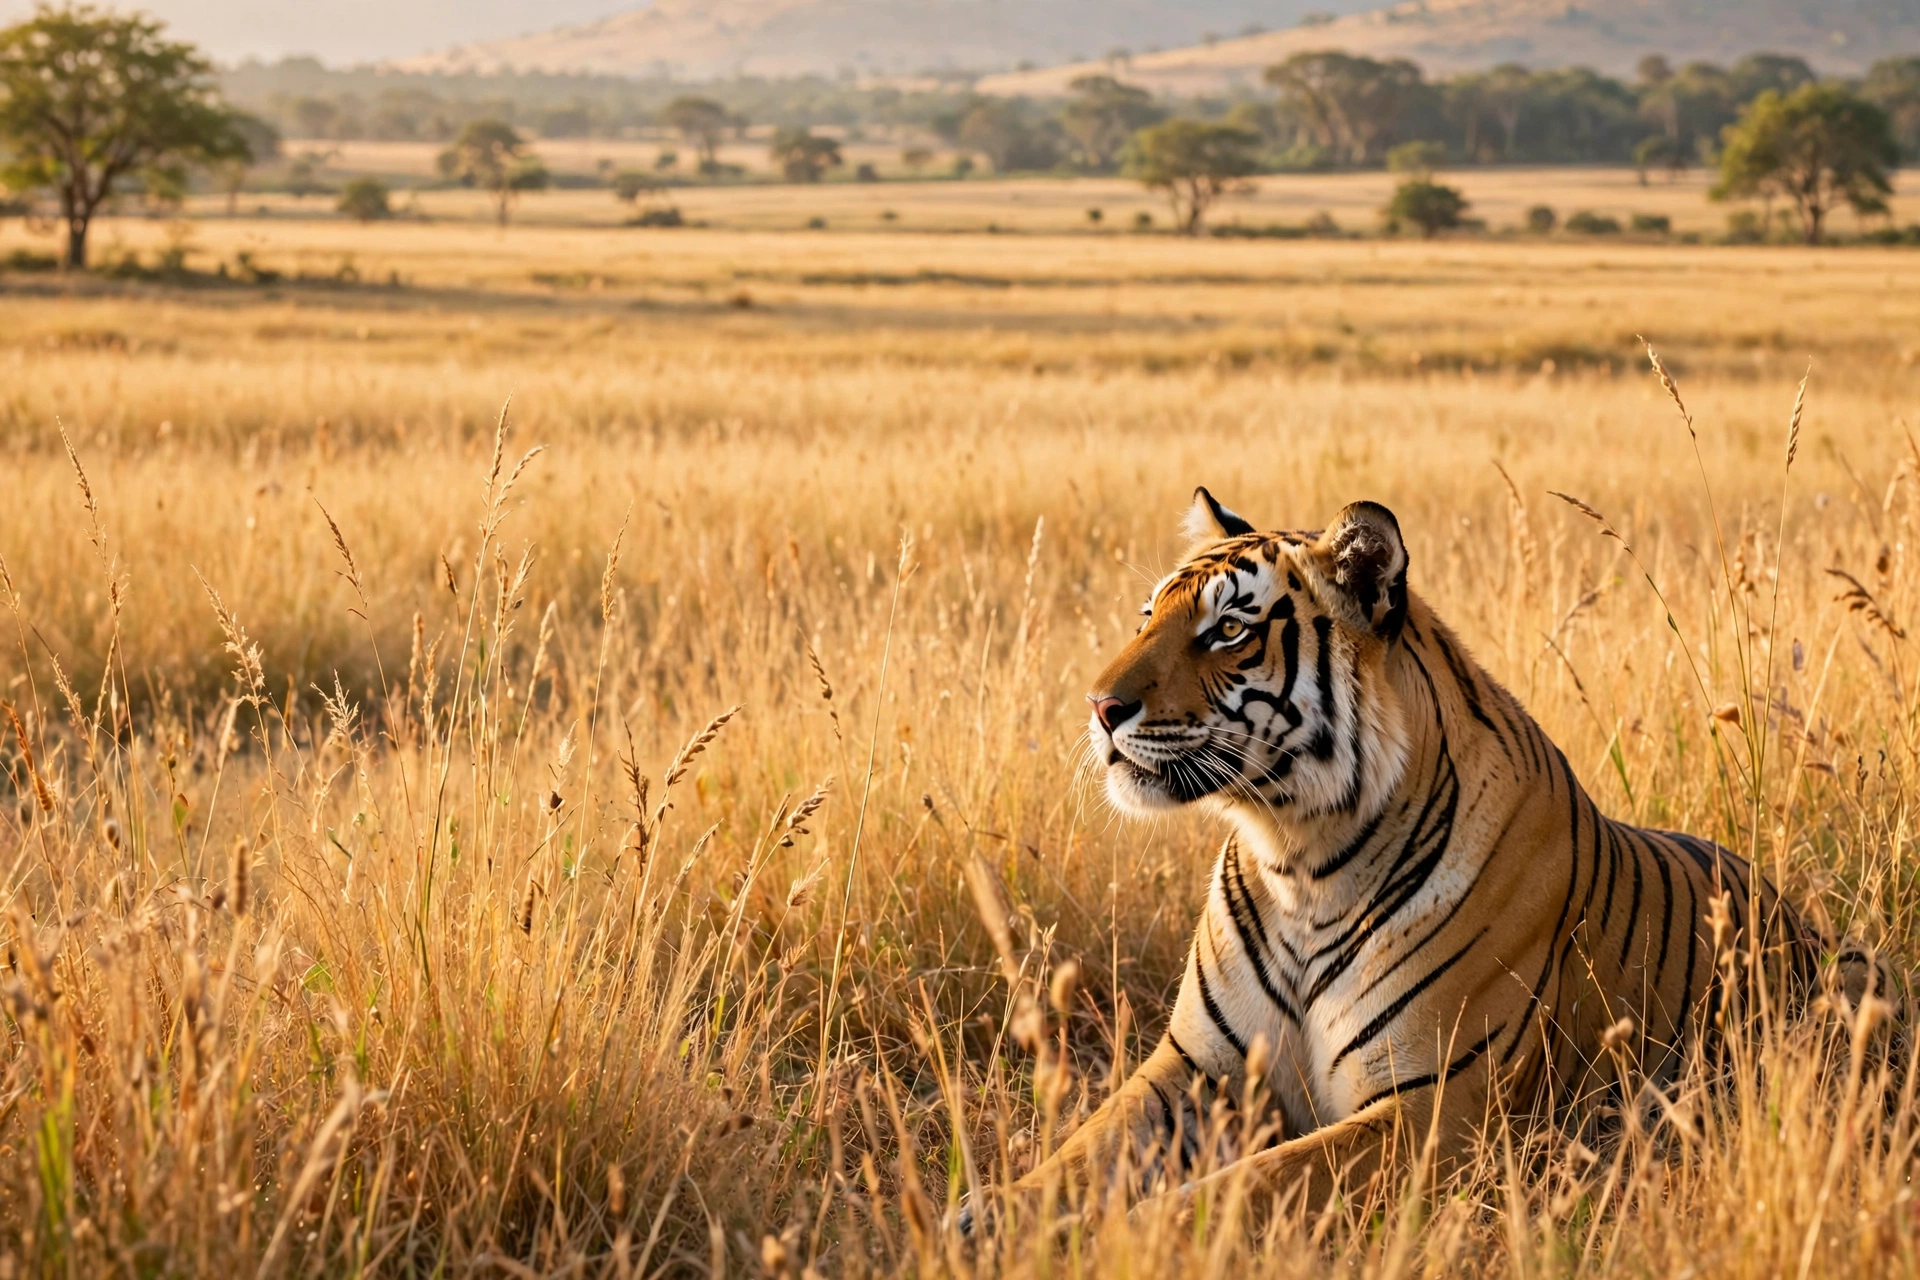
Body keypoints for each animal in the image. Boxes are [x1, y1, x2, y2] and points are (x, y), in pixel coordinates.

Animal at [981, 490, 1885, 1227]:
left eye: (1228, 630)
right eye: (1147, 616)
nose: (1099, 706)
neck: (1297, 859)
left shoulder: (1431, 1113)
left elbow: (1240, 1189)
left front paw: (1115, 1237)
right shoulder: (1194, 1069)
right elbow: (1074, 1158)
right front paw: (989, 1219)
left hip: (1857, 977)